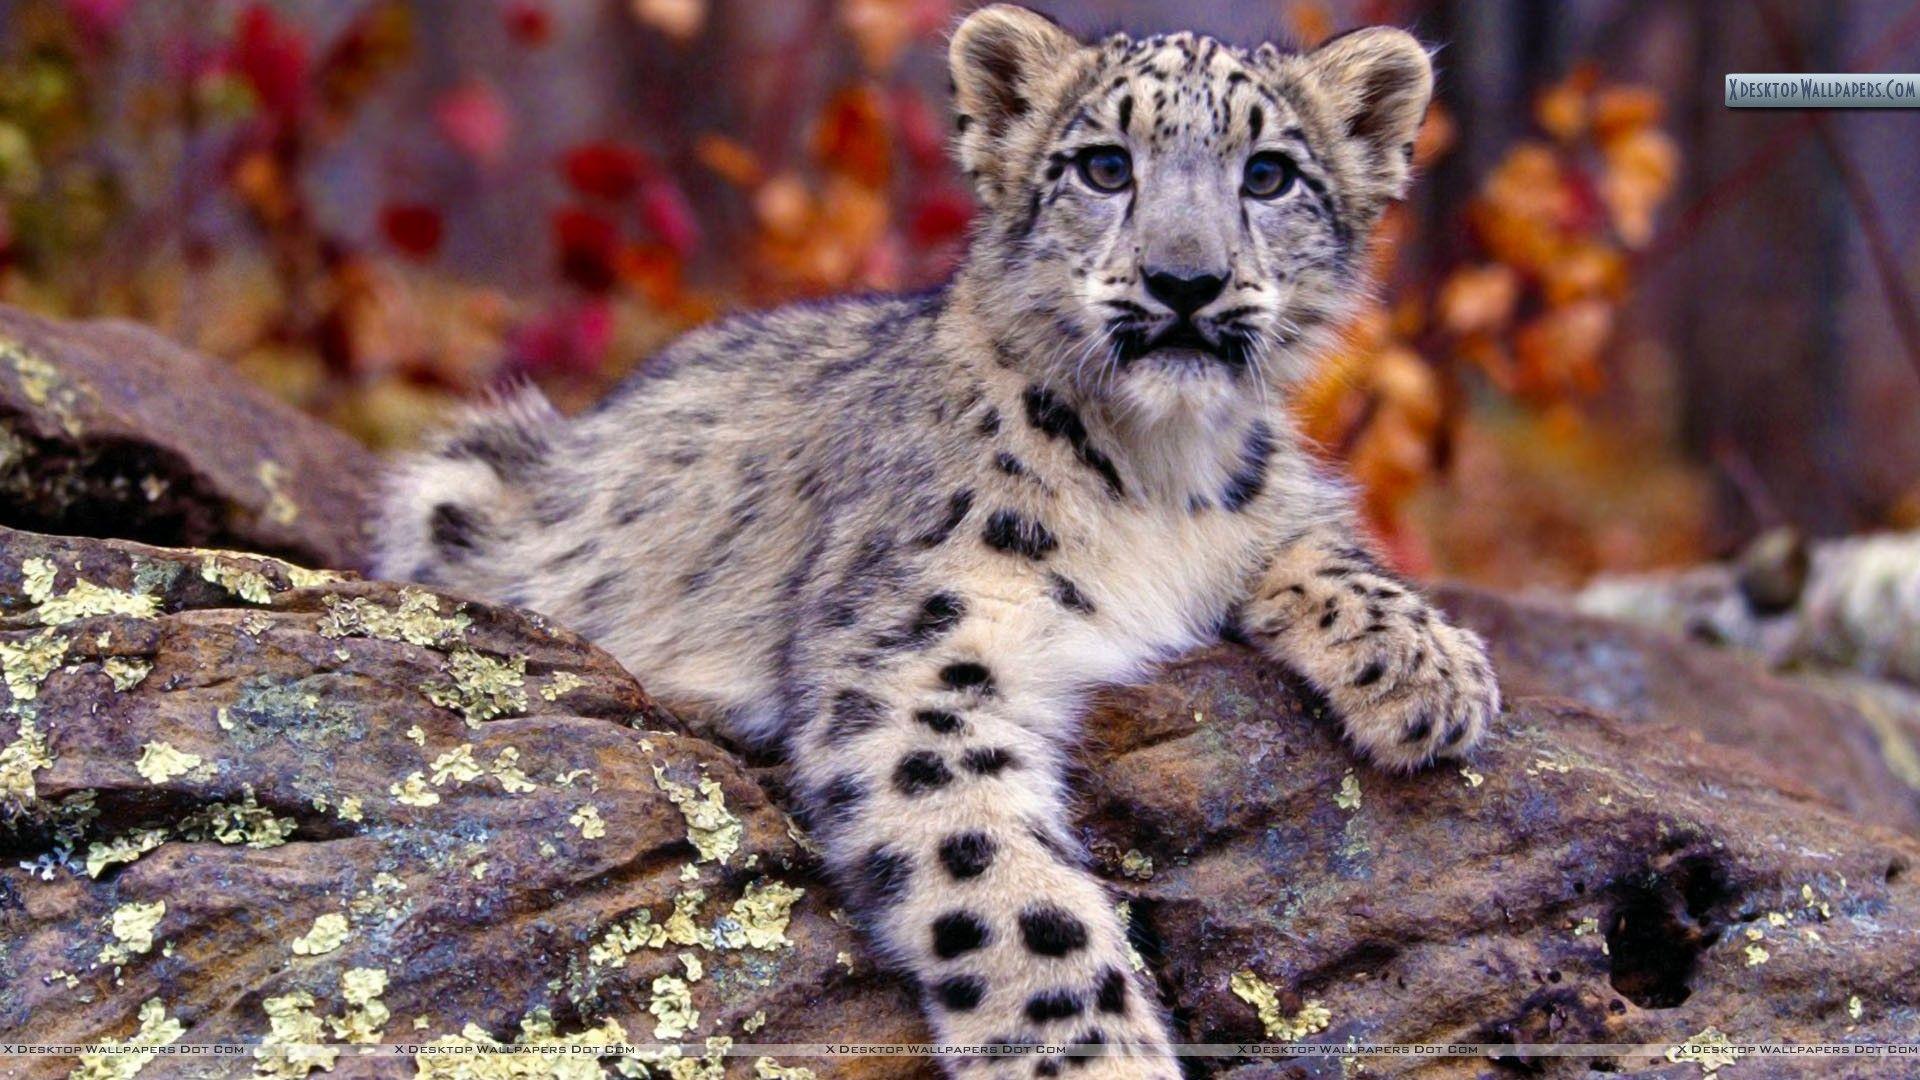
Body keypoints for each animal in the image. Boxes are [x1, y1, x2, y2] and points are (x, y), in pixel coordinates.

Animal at [374, 6, 1498, 1076]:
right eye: (1104, 166)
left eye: (1269, 175)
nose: (1186, 281)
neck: (1158, 471)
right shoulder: (919, 659)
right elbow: (1007, 886)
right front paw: (1090, 1059)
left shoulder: (1266, 501)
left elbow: (1315, 535)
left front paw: (1432, 674)